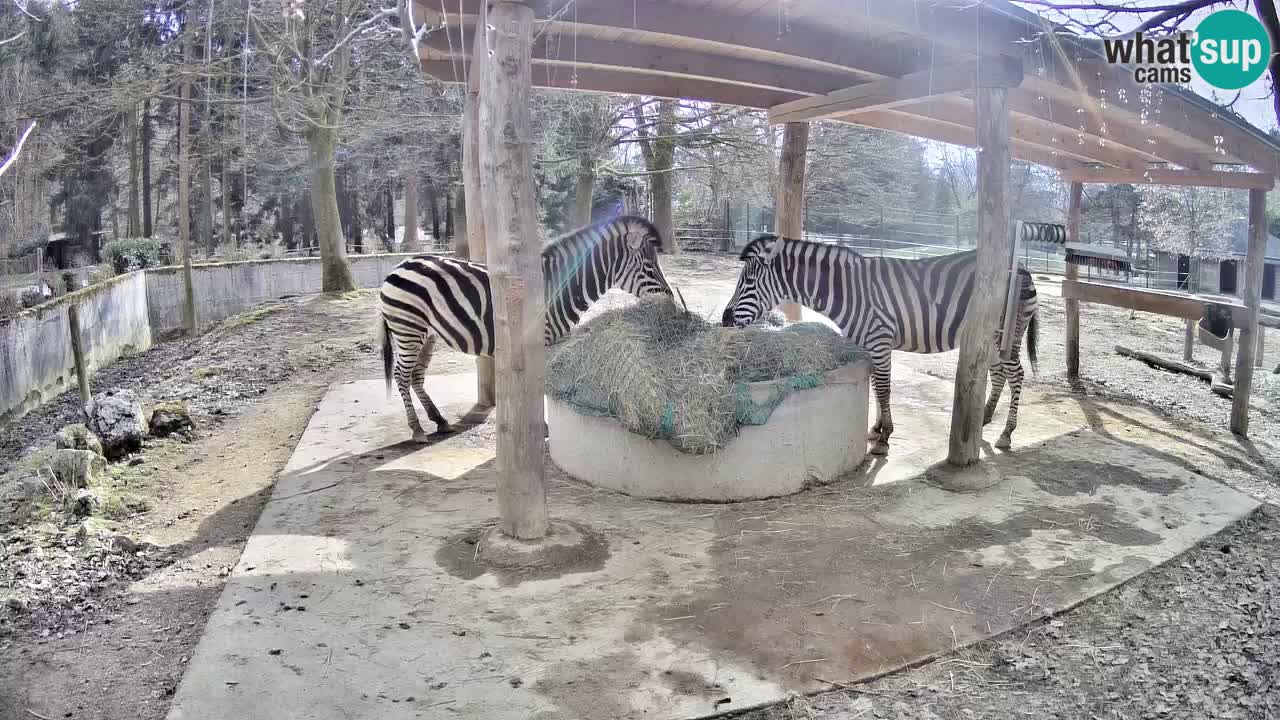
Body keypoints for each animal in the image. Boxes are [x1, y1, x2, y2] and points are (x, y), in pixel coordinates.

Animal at [373, 212, 670, 438]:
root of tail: (399, 265)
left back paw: (439, 420)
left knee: (416, 375)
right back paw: (417, 429)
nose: (668, 299)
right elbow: (539, 385)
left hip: (427, 335)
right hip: (408, 328)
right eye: (649, 266)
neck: (557, 286)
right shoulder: (541, 340)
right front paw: (542, 428)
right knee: (401, 375)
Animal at [727, 235, 1034, 453]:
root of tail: (1021, 266)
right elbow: (876, 386)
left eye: (749, 281)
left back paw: (1007, 433)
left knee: (1016, 374)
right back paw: (984, 418)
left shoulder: (879, 339)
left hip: (1006, 335)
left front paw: (884, 438)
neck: (849, 291)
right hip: (990, 338)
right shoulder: (869, 344)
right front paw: (876, 427)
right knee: (999, 374)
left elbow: (884, 389)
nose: (725, 319)